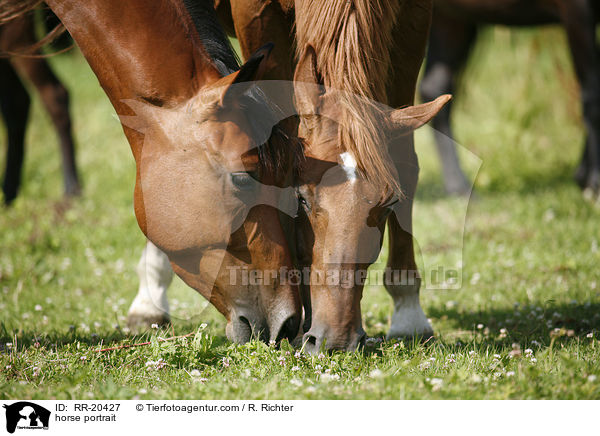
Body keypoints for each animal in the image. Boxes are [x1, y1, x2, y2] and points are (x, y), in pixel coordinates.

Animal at [422, 0, 600, 194]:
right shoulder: (578, 11)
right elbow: (592, 94)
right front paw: (594, 181)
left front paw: (584, 177)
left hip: (451, 18)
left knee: (435, 89)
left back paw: (458, 186)